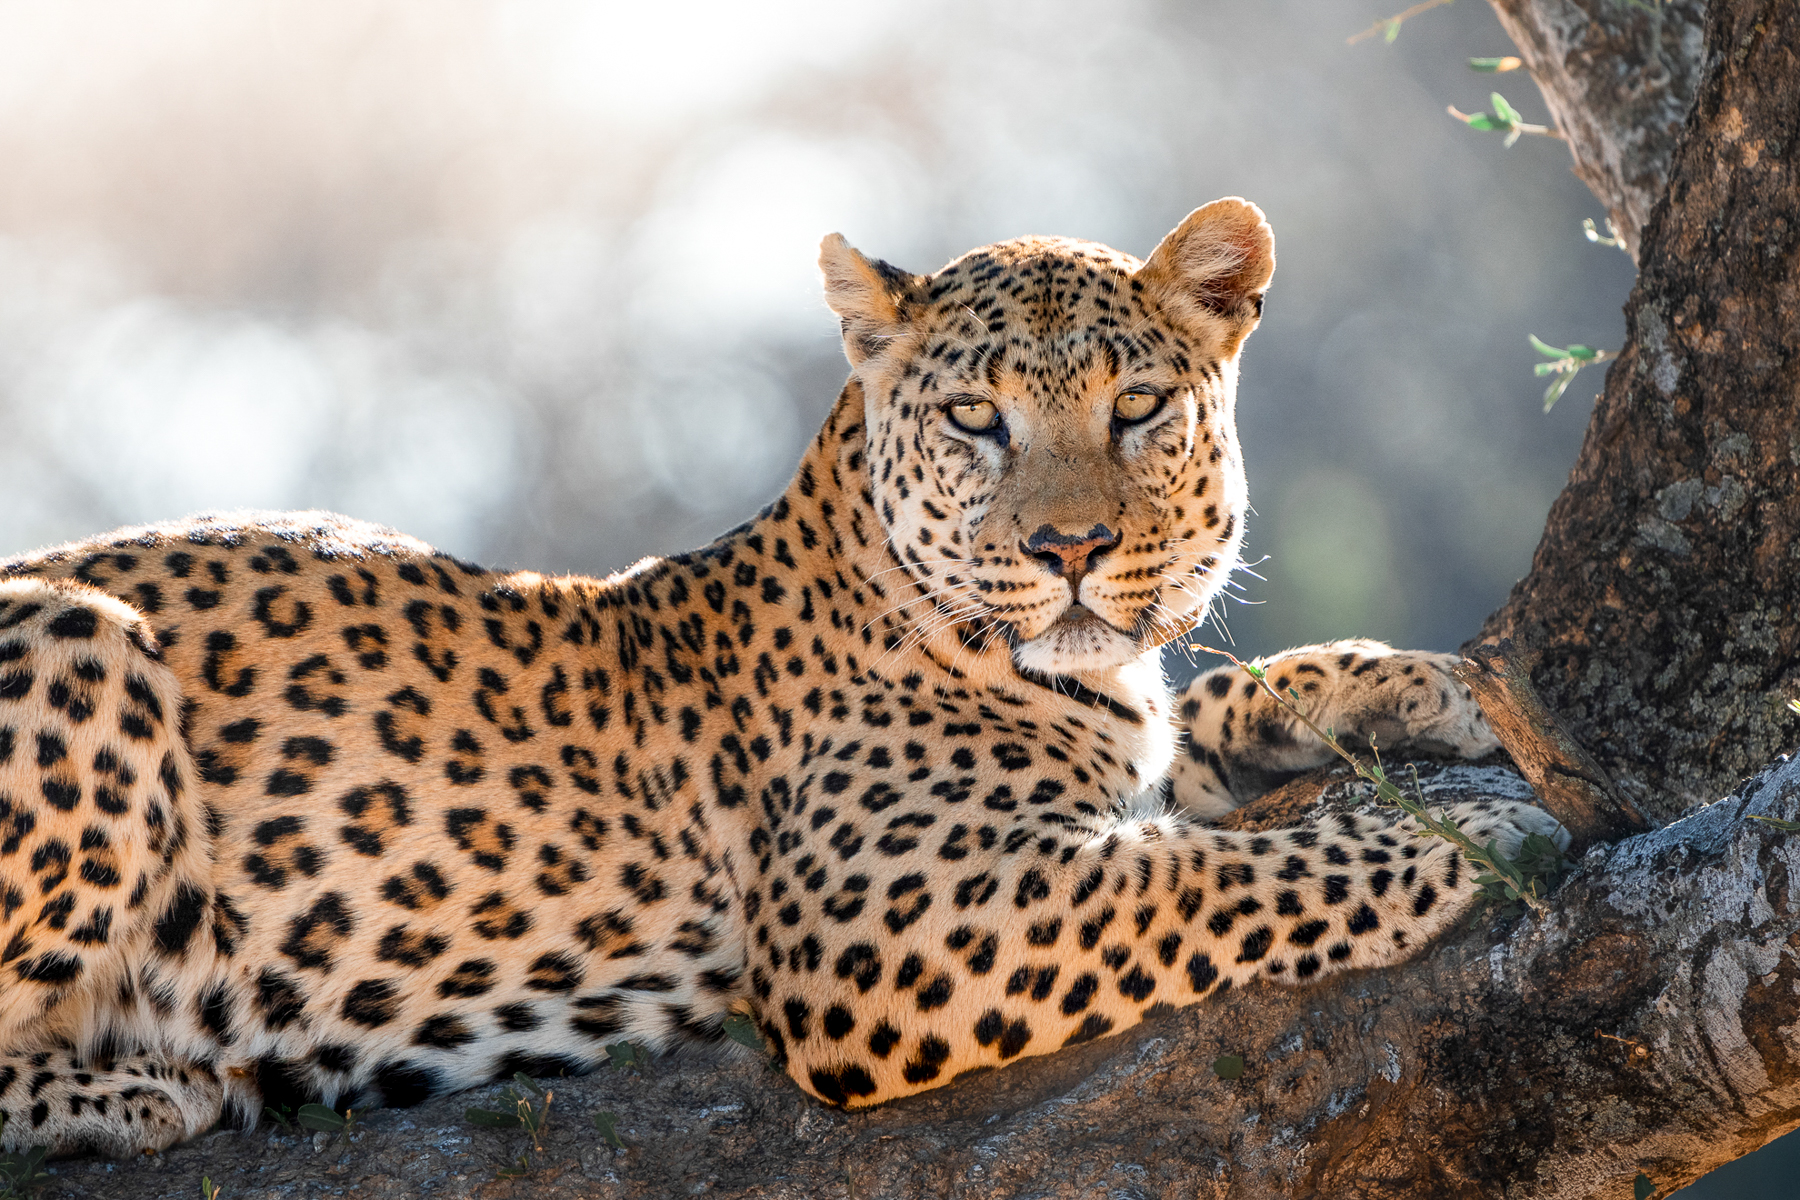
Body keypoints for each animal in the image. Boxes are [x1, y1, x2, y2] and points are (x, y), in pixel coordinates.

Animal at [0, 197, 1565, 1157]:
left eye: (1136, 409)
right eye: (976, 419)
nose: (1068, 548)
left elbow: (1215, 731)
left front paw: (1430, 690)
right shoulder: (887, 920)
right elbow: (1215, 877)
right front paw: (1465, 833)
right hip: (80, 635)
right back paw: (152, 1084)